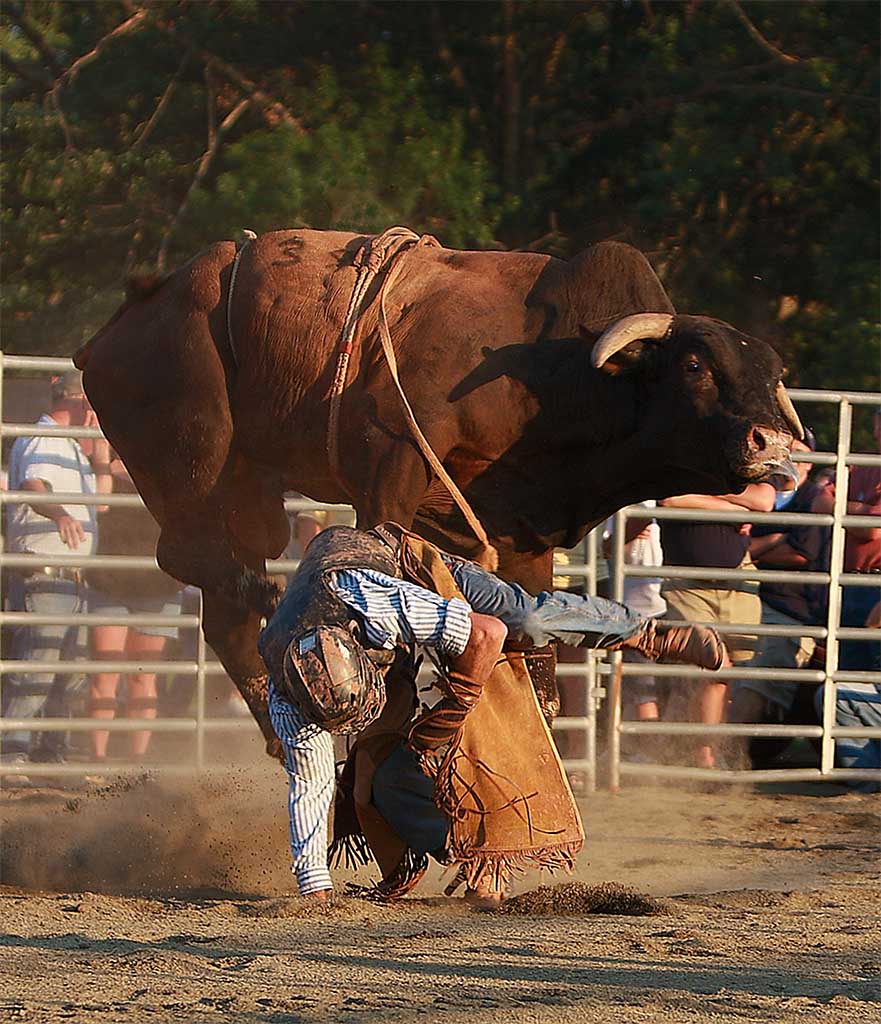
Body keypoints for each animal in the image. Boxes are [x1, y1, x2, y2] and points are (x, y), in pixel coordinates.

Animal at [73, 230, 807, 753]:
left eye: (770, 374)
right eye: (695, 364)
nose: (771, 443)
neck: (553, 368)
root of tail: (125, 319)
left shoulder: (521, 531)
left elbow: (538, 654)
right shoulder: (389, 466)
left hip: (248, 489)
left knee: (223, 606)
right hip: (192, 451)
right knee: (191, 557)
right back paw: (272, 601)